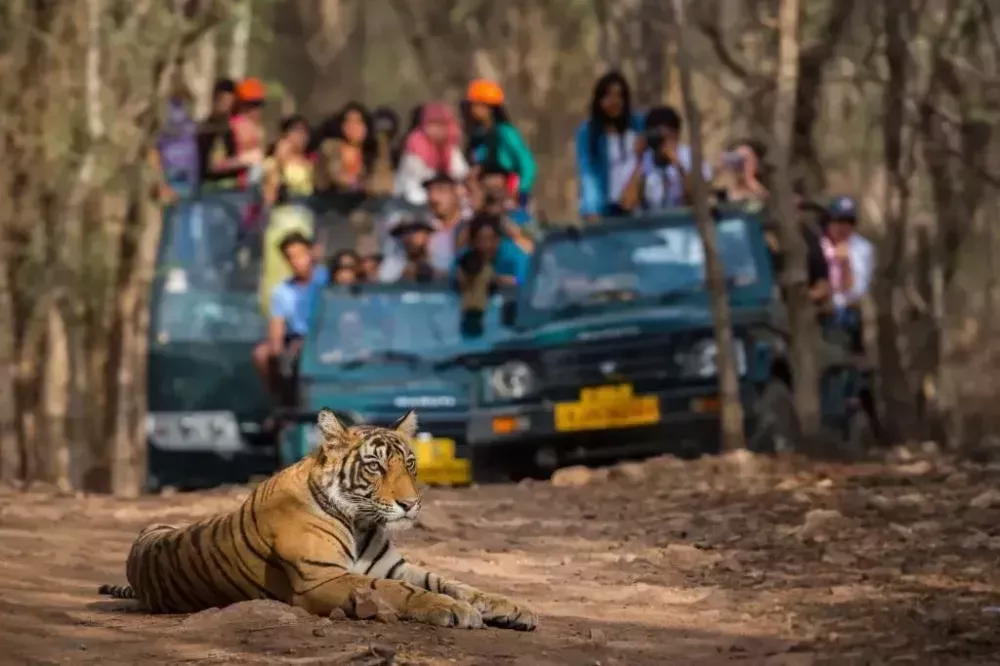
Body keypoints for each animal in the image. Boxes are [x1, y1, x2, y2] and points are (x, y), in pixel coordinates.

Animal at [98, 408, 537, 630]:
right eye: (376, 467)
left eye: (410, 464)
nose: (411, 504)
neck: (361, 522)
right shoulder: (321, 578)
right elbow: (403, 591)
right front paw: (455, 610)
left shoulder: (395, 566)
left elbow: (454, 582)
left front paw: (512, 607)